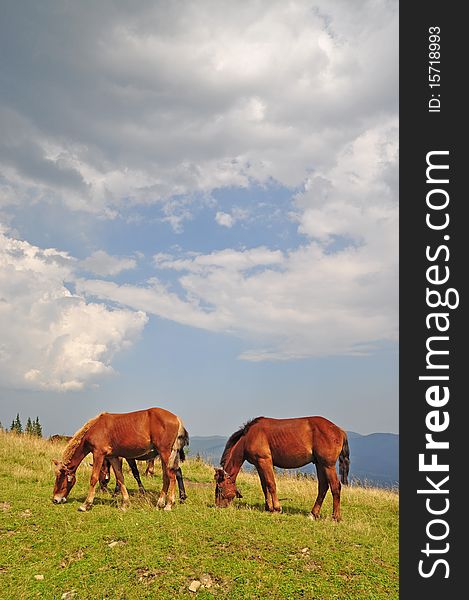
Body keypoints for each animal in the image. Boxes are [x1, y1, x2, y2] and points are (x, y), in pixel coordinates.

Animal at [51, 408, 188, 510]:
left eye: (60, 478)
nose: (55, 499)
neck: (95, 428)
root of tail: (177, 418)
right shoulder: (113, 457)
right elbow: (120, 478)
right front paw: (125, 503)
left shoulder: (98, 454)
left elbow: (94, 478)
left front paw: (86, 504)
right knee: (166, 476)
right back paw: (160, 502)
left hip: (165, 452)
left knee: (172, 475)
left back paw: (169, 504)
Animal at [214, 418, 350, 520]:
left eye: (220, 488)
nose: (218, 506)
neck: (249, 437)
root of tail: (339, 430)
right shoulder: (259, 464)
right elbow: (264, 486)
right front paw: (268, 507)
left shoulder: (265, 461)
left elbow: (271, 484)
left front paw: (276, 508)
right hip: (320, 464)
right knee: (323, 487)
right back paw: (313, 513)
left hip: (328, 465)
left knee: (335, 487)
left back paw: (335, 517)